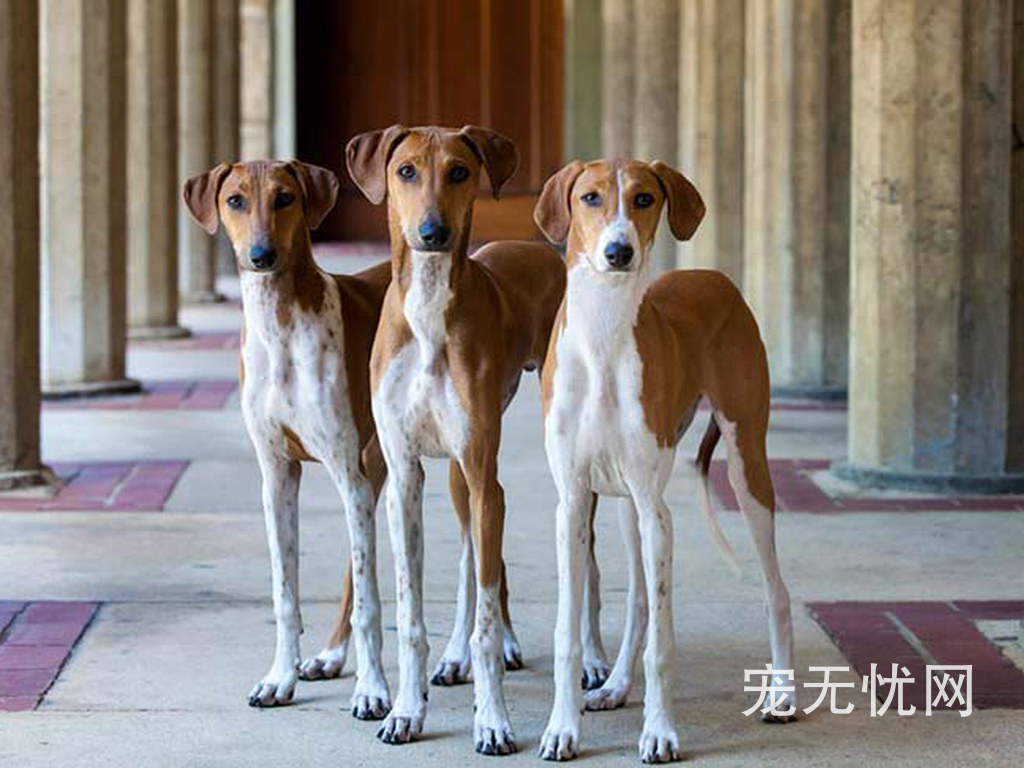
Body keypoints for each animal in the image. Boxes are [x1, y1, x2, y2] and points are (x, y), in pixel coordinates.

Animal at [184, 159, 395, 720]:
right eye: (235, 200)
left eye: (285, 198)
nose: (261, 256)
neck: (280, 325)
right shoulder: (278, 476)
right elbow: (285, 592)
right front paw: (281, 677)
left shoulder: (345, 470)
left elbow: (371, 603)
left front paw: (373, 690)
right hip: (376, 468)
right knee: (353, 570)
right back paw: (329, 656)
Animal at [348, 128, 565, 757]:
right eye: (406, 171)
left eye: (461, 171)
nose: (432, 232)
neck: (427, 309)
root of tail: (539, 248)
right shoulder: (405, 475)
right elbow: (412, 613)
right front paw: (405, 710)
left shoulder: (482, 472)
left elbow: (488, 622)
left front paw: (492, 721)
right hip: (456, 476)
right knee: (471, 559)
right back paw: (452, 658)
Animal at [532, 160, 794, 765]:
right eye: (590, 197)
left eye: (645, 198)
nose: (618, 251)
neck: (603, 336)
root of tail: (716, 278)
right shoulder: (573, 503)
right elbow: (569, 634)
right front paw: (563, 728)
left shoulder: (658, 512)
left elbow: (664, 644)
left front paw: (659, 732)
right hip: (625, 507)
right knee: (638, 604)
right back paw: (615, 686)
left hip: (747, 469)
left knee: (777, 591)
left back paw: (782, 694)